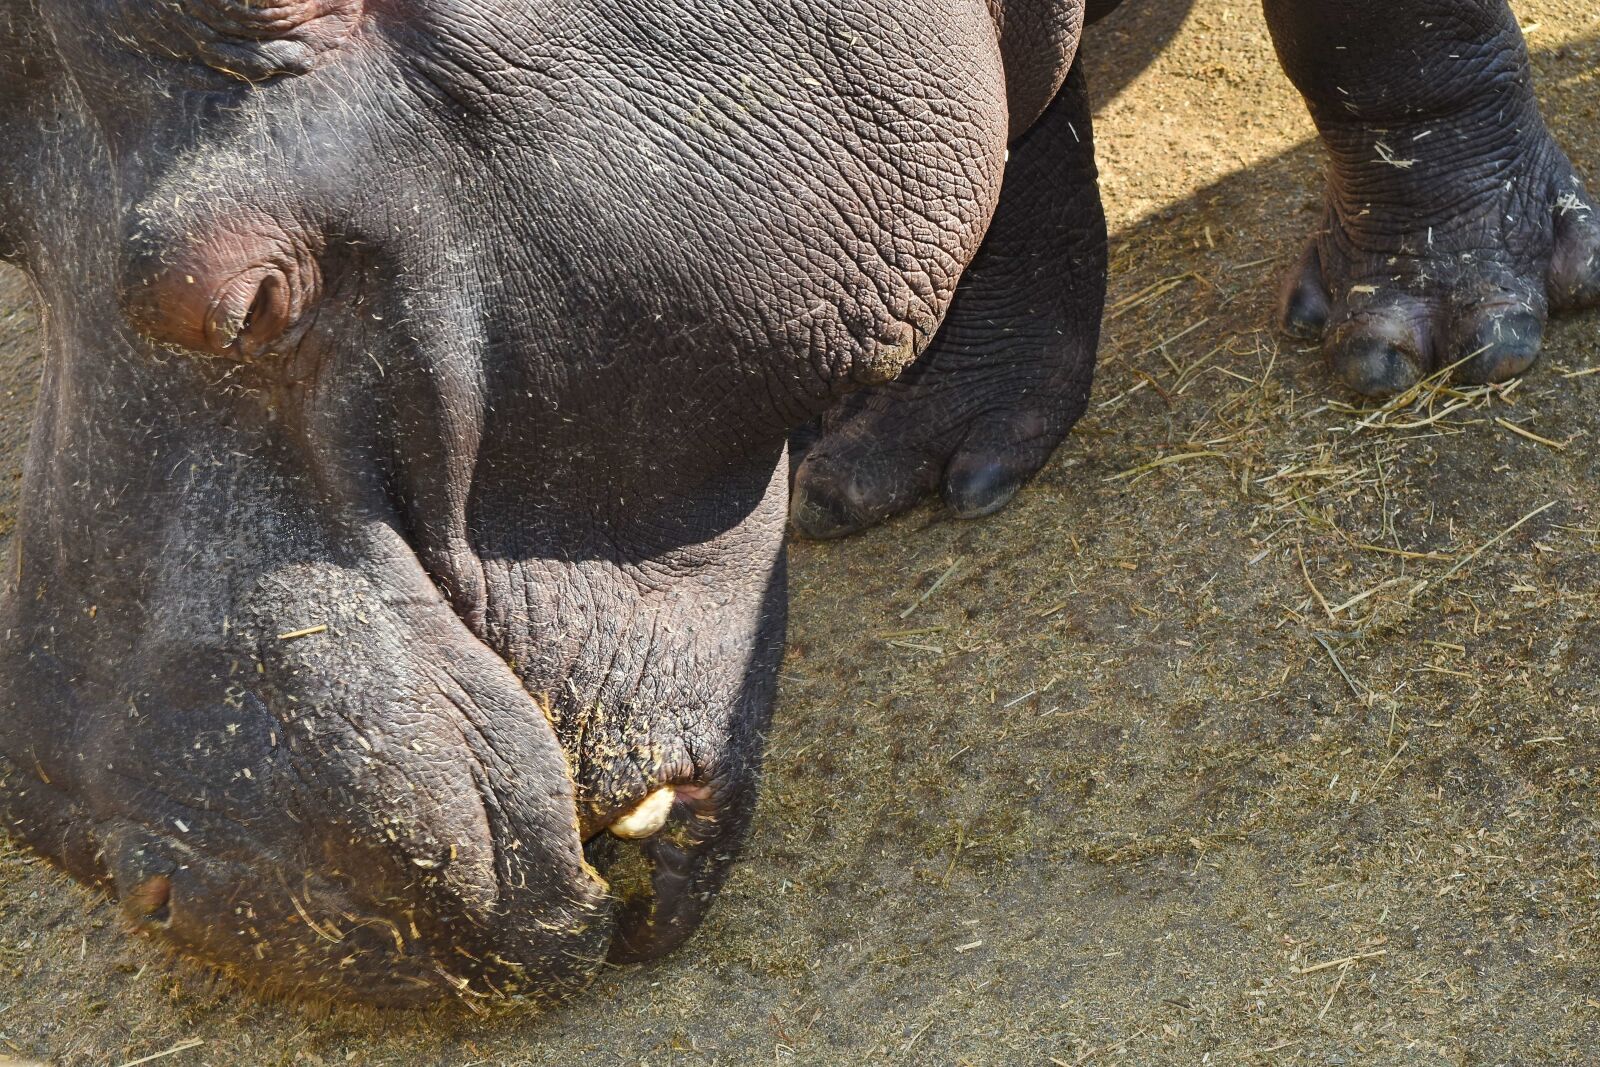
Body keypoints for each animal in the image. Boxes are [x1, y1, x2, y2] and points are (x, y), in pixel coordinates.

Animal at [0, 0, 1594, 1007]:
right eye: (7, 232)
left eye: (247, 296)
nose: (123, 860)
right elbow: (1018, 132)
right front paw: (908, 460)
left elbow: (1376, 35)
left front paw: (1432, 332)